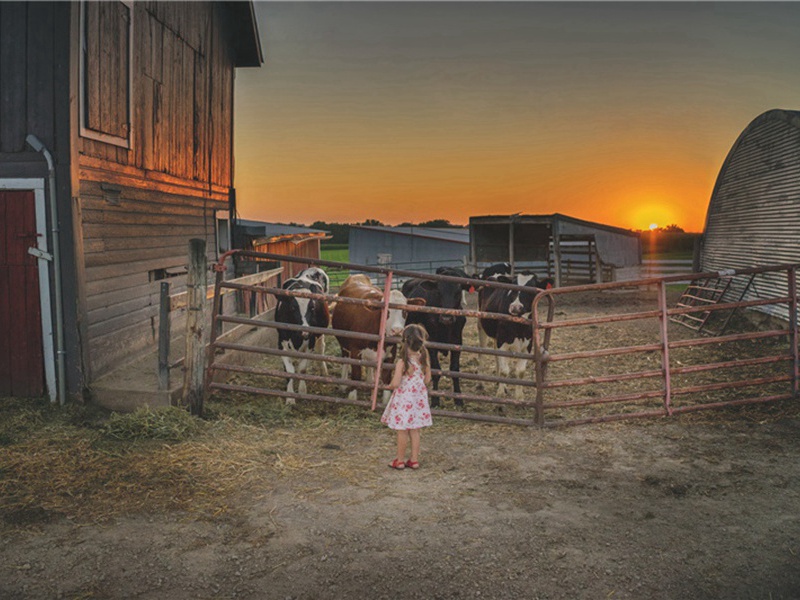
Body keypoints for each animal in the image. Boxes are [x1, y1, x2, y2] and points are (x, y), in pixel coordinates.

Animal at [272, 272, 328, 404]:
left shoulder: (311, 343)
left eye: (312, 307)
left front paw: (302, 391)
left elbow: (302, 369)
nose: (305, 331)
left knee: (321, 349)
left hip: (320, 335)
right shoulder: (281, 343)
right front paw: (290, 397)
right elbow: (289, 371)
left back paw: (324, 371)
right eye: (293, 307)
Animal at [400, 266, 468, 408]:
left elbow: (455, 369)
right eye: (439, 292)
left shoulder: (457, 342)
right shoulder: (432, 343)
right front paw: (436, 399)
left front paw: (458, 398)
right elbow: (436, 370)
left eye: (458, 292)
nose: (447, 317)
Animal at [478, 268, 552, 398]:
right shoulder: (502, 342)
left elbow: (520, 372)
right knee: (482, 351)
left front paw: (519, 397)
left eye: (531, 289)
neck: (519, 327)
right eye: (512, 287)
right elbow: (504, 371)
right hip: (481, 327)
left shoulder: (527, 346)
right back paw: (481, 384)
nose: (515, 307)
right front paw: (500, 395)